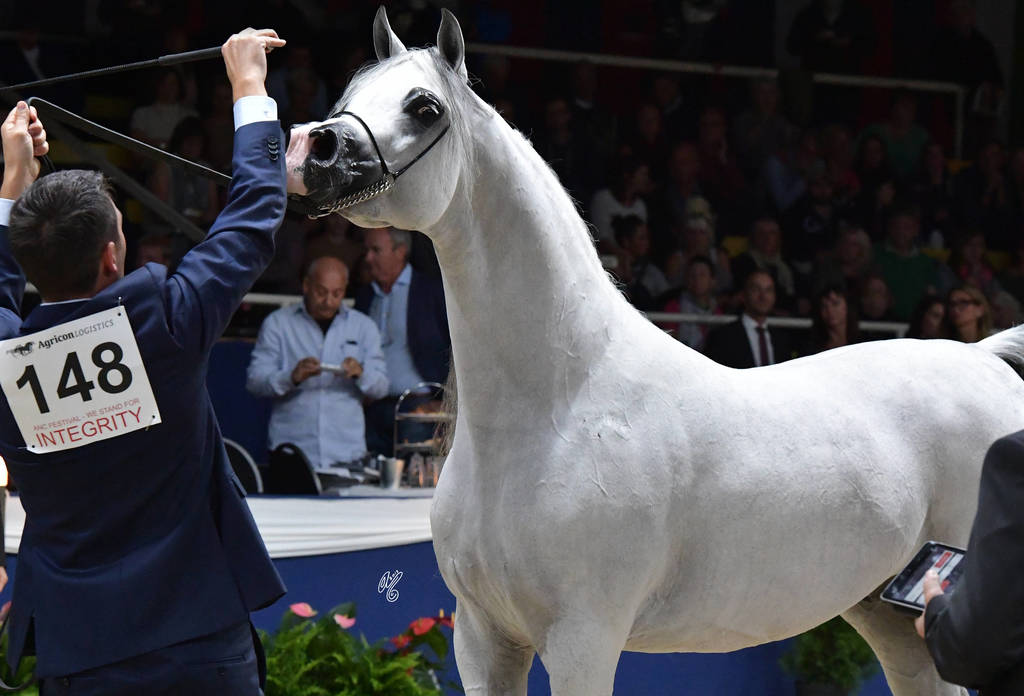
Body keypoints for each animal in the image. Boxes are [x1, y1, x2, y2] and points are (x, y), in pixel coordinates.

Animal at [285, 9, 1024, 695]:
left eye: (424, 106)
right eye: (352, 88)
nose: (316, 153)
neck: (554, 405)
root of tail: (986, 359)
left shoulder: (583, 639)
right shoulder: (482, 638)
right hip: (891, 616)